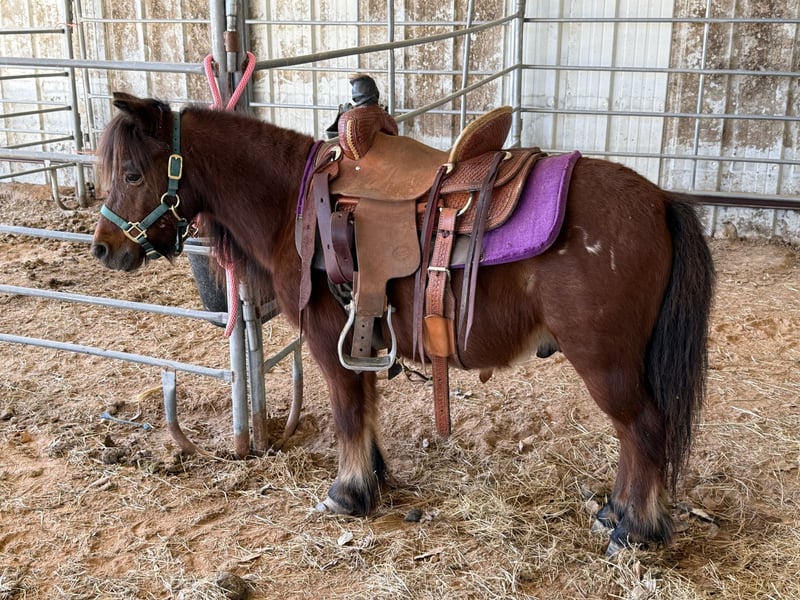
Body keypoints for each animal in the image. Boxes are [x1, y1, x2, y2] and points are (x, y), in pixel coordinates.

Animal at [91, 92, 715, 555]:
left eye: (132, 173)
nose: (103, 249)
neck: (294, 203)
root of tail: (659, 201)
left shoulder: (328, 340)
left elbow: (346, 411)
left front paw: (347, 494)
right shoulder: (360, 334)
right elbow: (364, 408)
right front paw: (374, 477)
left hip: (605, 362)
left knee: (643, 431)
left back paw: (634, 529)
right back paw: (615, 512)